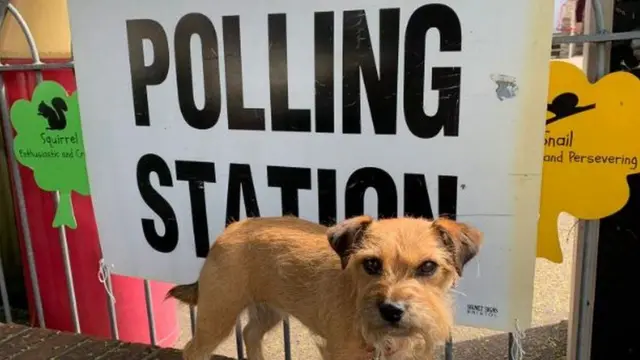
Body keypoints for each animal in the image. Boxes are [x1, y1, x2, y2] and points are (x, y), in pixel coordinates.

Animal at [168, 215, 482, 358]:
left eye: (428, 266)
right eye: (371, 264)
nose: (392, 310)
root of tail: (228, 229)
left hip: (268, 311)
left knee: (249, 333)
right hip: (216, 318)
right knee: (193, 349)